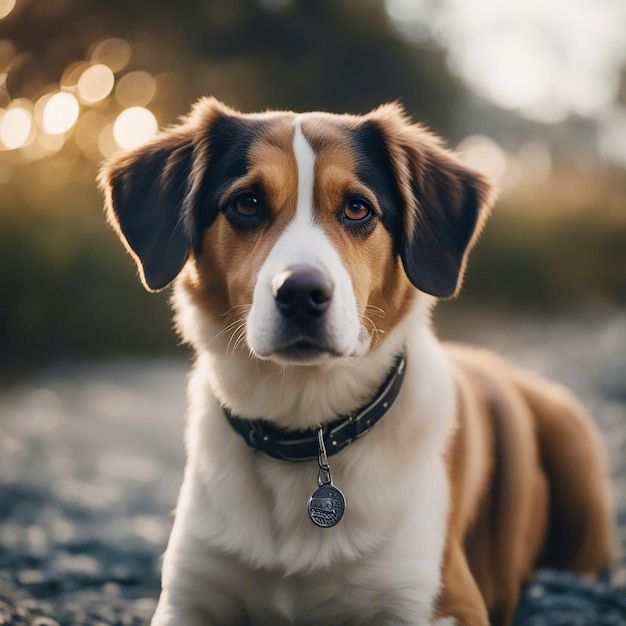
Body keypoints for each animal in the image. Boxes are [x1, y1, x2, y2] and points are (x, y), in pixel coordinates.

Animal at [100, 100, 612, 620]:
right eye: (246, 203)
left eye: (357, 207)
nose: (301, 292)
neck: (306, 423)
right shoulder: (188, 596)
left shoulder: (436, 601)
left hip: (574, 447)